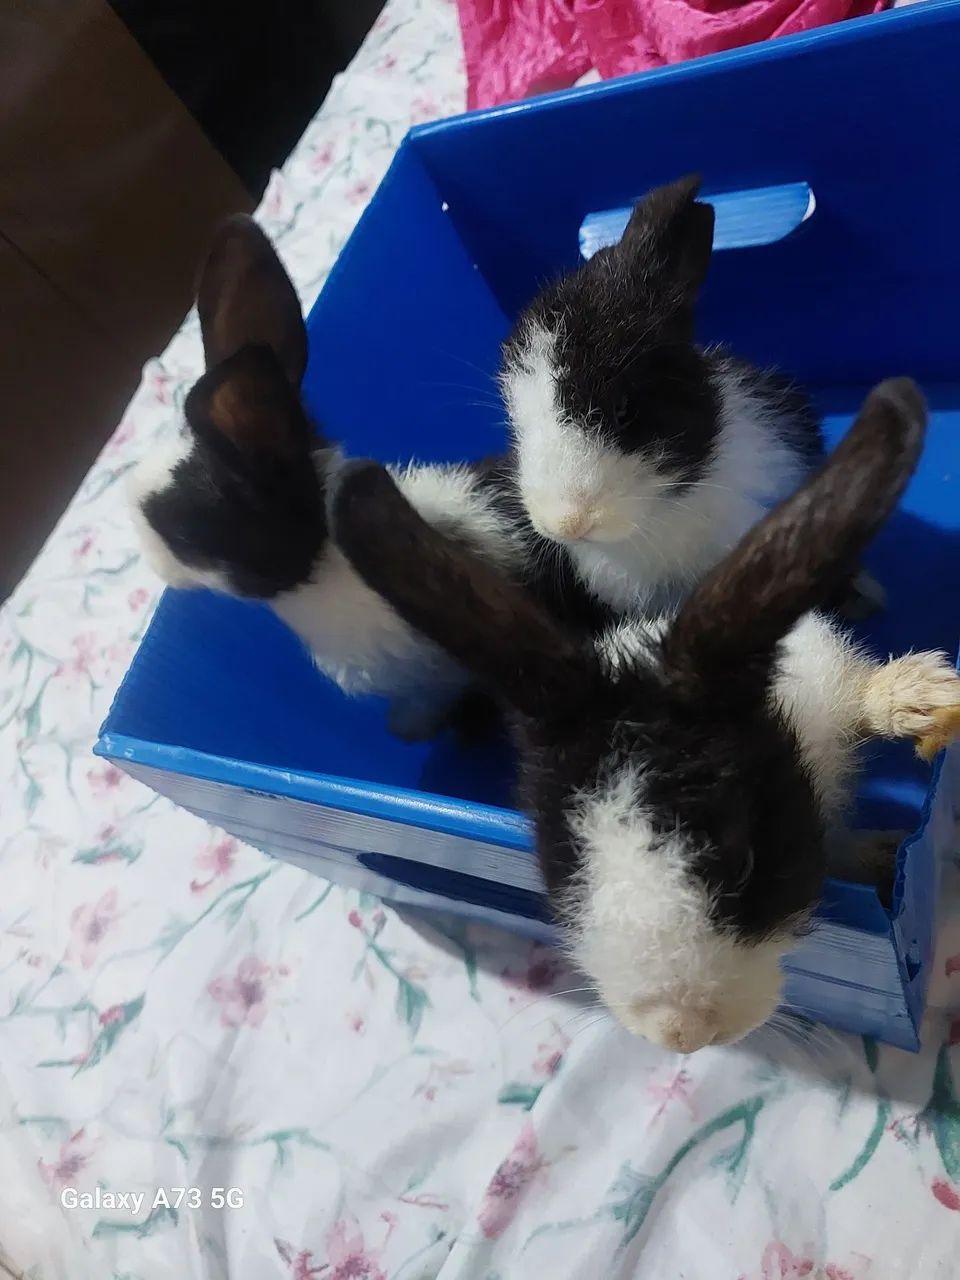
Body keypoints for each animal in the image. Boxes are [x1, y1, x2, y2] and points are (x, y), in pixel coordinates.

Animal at [329, 377, 960, 1053]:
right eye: (570, 873)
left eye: (746, 862)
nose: (680, 1033)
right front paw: (879, 854)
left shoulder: (816, 675)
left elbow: (858, 692)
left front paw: (927, 703)